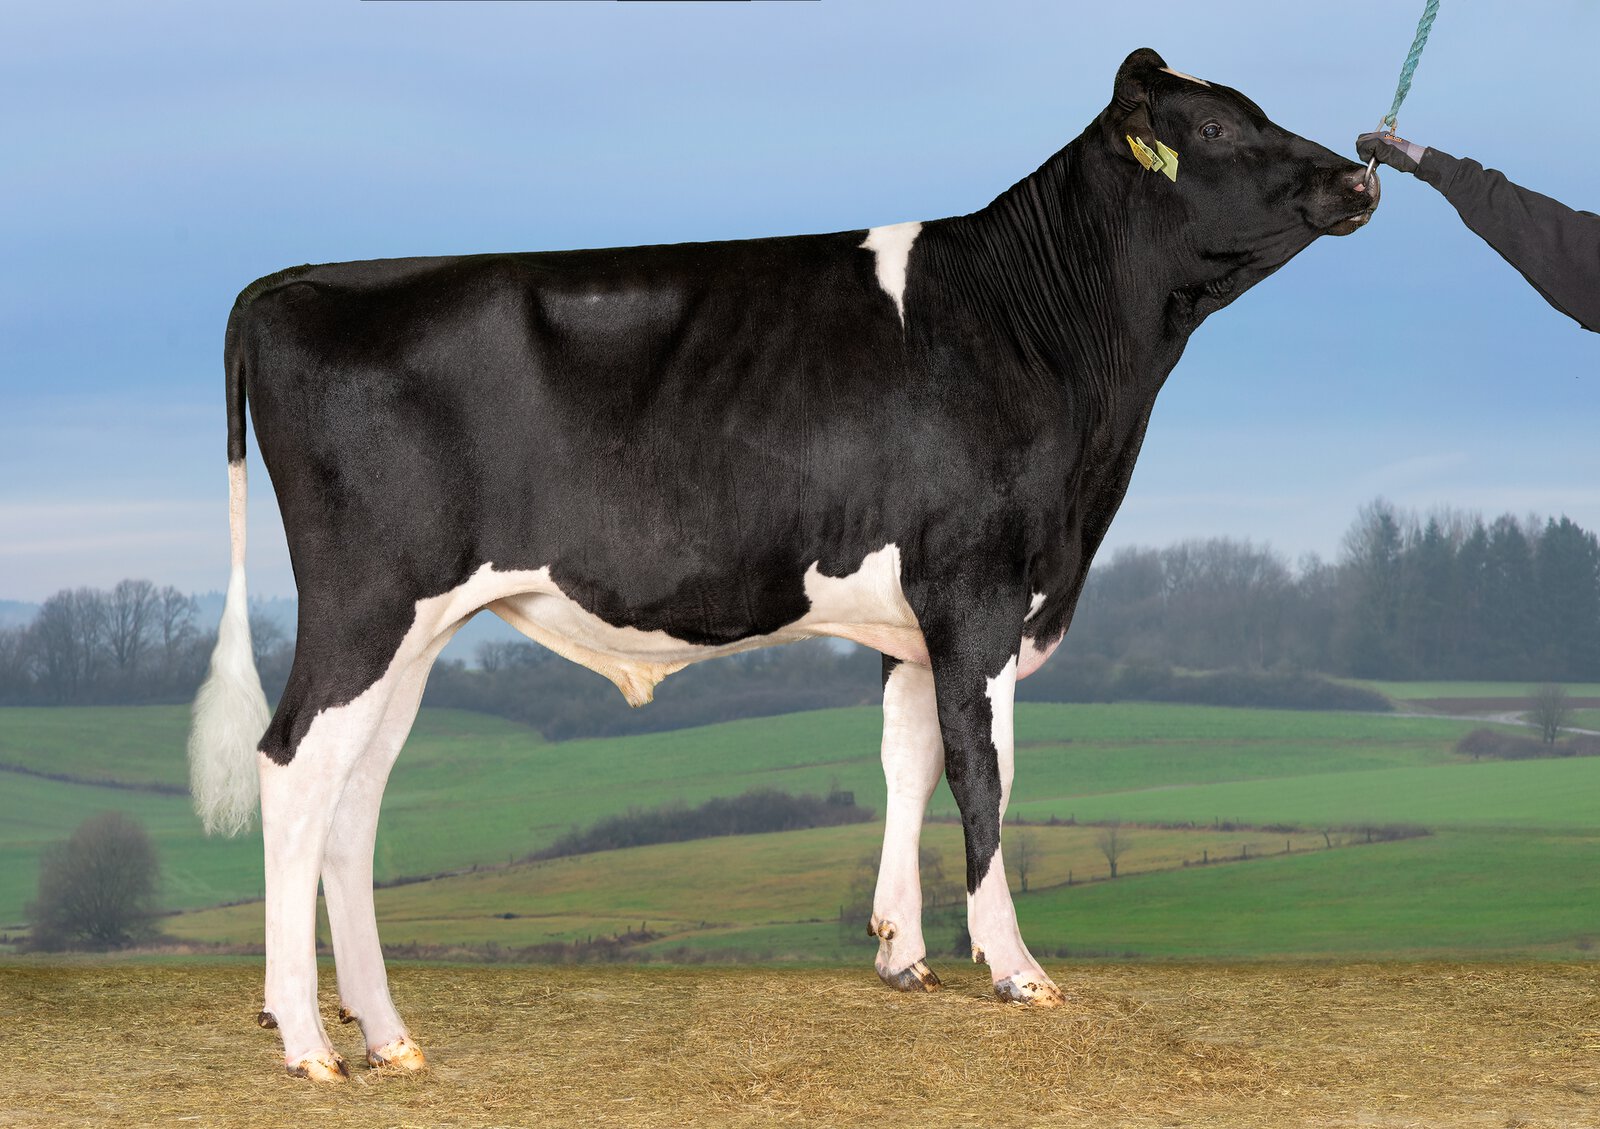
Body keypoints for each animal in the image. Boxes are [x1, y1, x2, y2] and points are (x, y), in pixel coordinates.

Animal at [188, 48, 1378, 1080]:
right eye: (1215, 127)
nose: (1359, 173)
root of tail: (301, 280)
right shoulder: (980, 586)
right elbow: (983, 774)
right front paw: (1015, 969)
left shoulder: (914, 618)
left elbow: (907, 757)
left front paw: (902, 954)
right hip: (366, 602)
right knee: (292, 765)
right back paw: (308, 1041)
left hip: (418, 630)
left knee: (353, 797)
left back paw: (388, 1034)